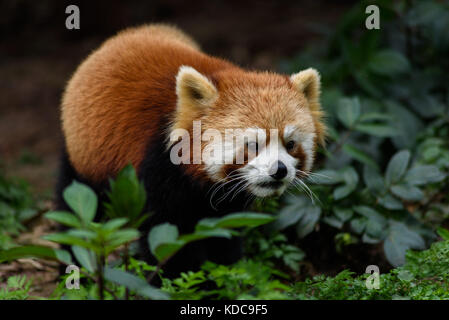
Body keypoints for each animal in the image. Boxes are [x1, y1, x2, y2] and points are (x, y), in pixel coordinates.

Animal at [58, 24, 326, 276]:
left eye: (290, 144)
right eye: (253, 145)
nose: (279, 170)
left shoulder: (226, 205)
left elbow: (224, 238)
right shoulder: (157, 171)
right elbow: (170, 242)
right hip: (83, 157)